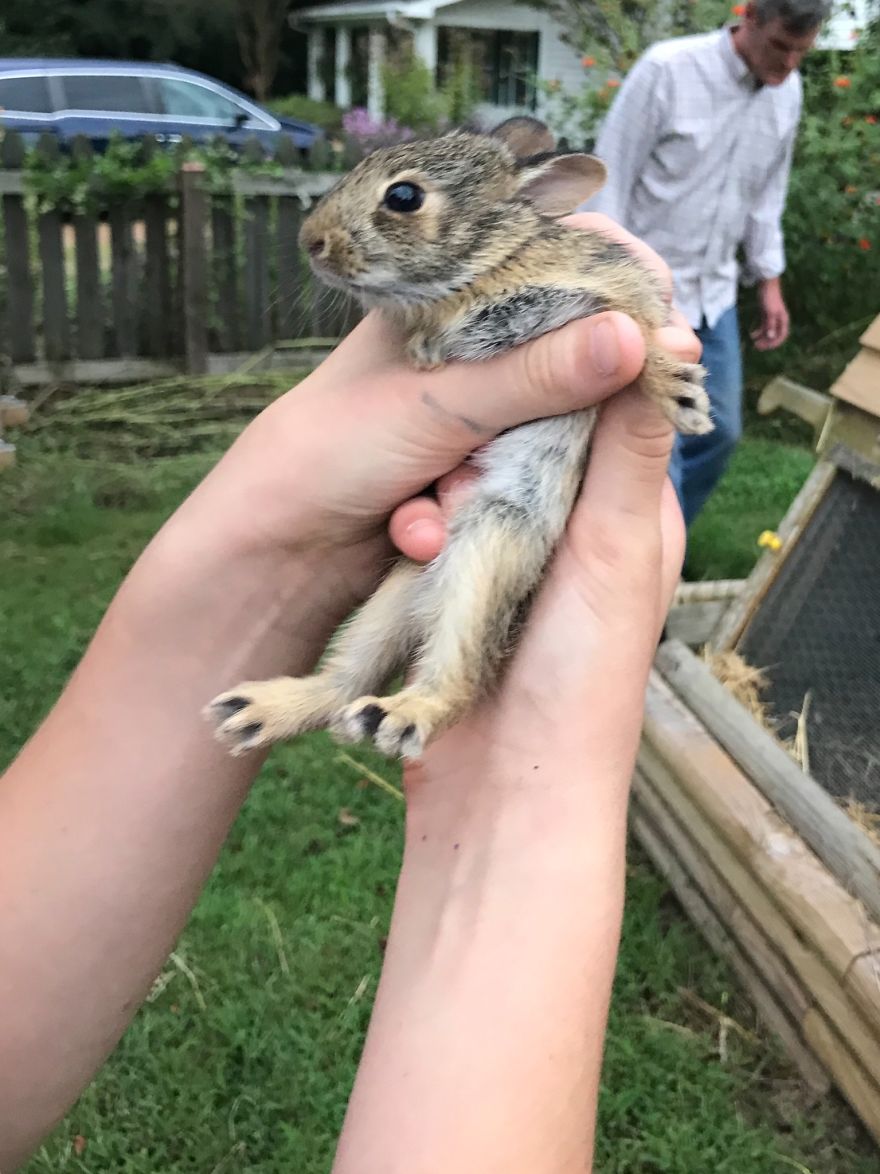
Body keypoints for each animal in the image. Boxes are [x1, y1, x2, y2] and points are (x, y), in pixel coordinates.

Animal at [205, 121, 712, 761]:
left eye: (403, 197)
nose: (311, 242)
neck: (486, 268)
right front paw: (426, 349)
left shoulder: (612, 298)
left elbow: (639, 340)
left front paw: (681, 397)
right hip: (401, 587)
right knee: (348, 680)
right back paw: (268, 711)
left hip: (492, 547)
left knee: (460, 676)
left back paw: (402, 713)